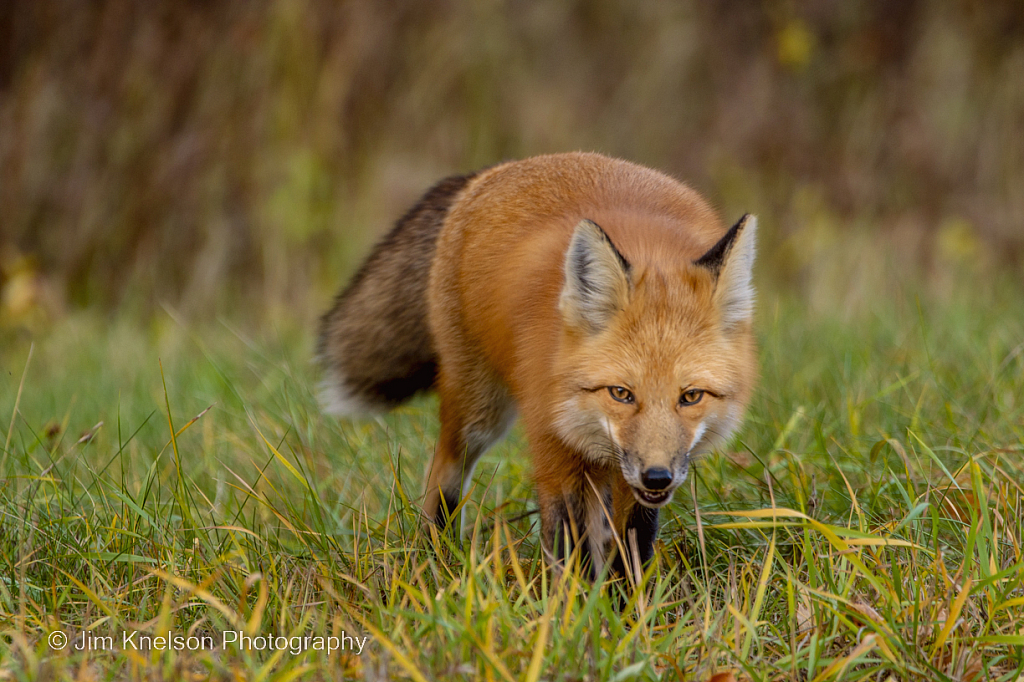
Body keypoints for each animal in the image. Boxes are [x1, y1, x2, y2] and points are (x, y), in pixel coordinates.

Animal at [315, 151, 757, 577]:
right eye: (621, 393)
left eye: (691, 396)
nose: (657, 476)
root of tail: (496, 169)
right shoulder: (553, 448)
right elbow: (569, 548)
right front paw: (574, 602)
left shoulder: (631, 482)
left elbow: (632, 545)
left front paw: (626, 601)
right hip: (478, 412)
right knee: (443, 474)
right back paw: (435, 560)